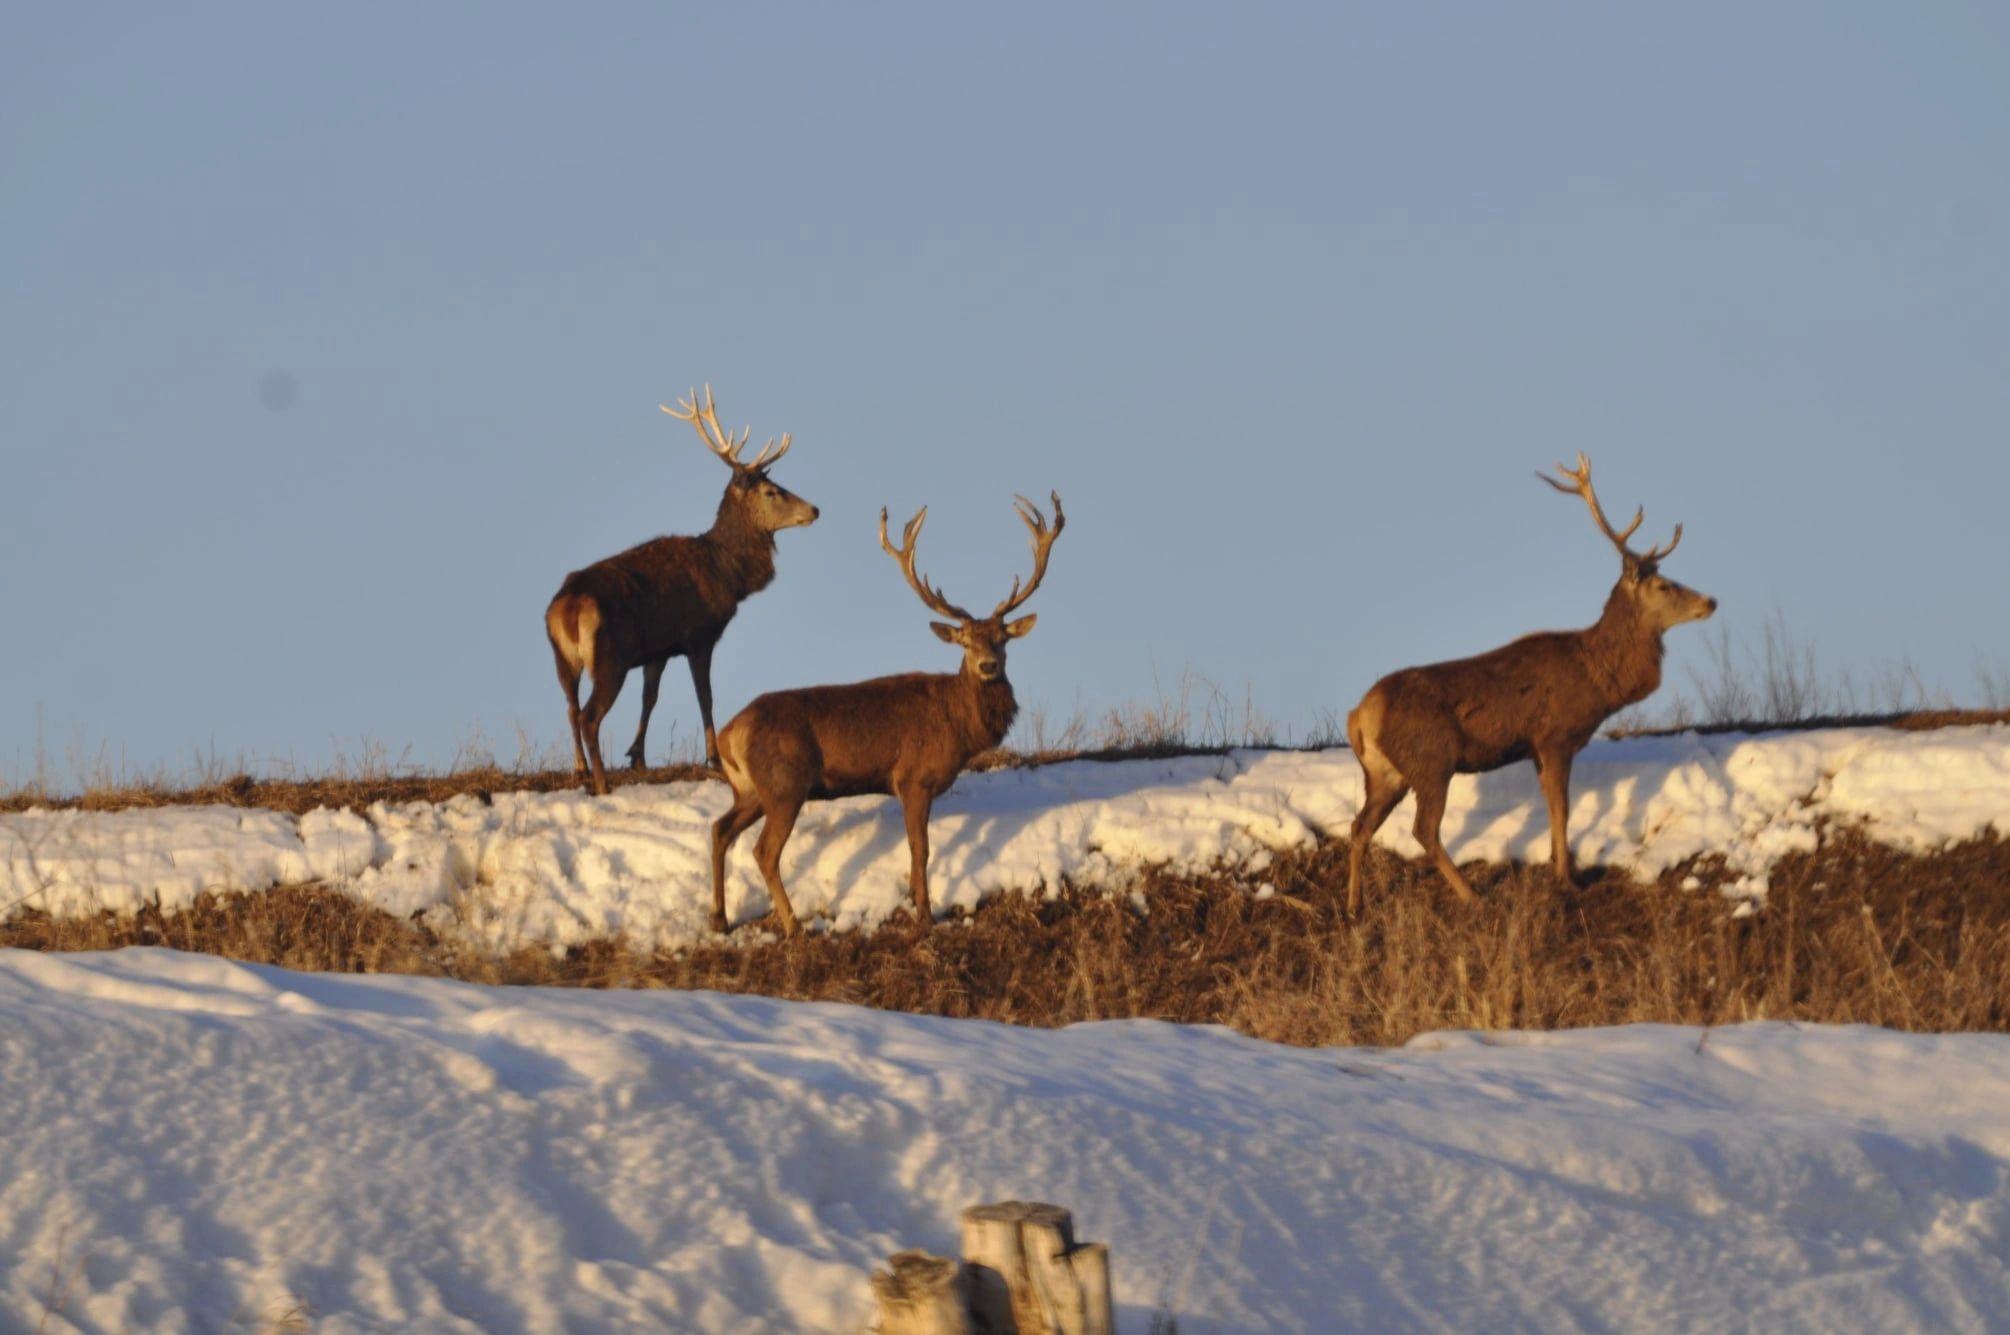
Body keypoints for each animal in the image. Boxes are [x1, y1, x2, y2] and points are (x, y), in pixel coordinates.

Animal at [545, 386, 819, 795]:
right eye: (772, 491)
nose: (815, 509)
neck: (728, 574)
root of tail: (569, 607)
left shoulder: (657, 650)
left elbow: (650, 698)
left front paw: (637, 755)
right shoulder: (698, 635)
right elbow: (705, 695)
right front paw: (713, 757)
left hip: (563, 659)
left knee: (569, 706)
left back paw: (579, 770)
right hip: (610, 658)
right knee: (589, 716)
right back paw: (601, 781)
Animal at [707, 493, 1065, 937]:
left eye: (1002, 640)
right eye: (965, 642)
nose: (987, 666)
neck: (960, 727)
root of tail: (728, 735)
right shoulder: (913, 777)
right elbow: (920, 848)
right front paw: (925, 914)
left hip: (749, 790)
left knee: (719, 829)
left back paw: (720, 918)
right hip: (784, 783)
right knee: (764, 851)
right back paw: (793, 925)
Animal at [1345, 454, 1716, 913]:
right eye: (1665, 585)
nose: (1711, 601)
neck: (1598, 679)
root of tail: (1359, 715)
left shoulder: (1537, 748)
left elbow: (1554, 807)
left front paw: (1562, 872)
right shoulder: (1554, 735)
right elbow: (1562, 808)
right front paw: (1567, 879)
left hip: (1385, 773)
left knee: (1360, 826)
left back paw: (1354, 906)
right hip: (1431, 759)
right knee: (1423, 829)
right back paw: (1471, 895)